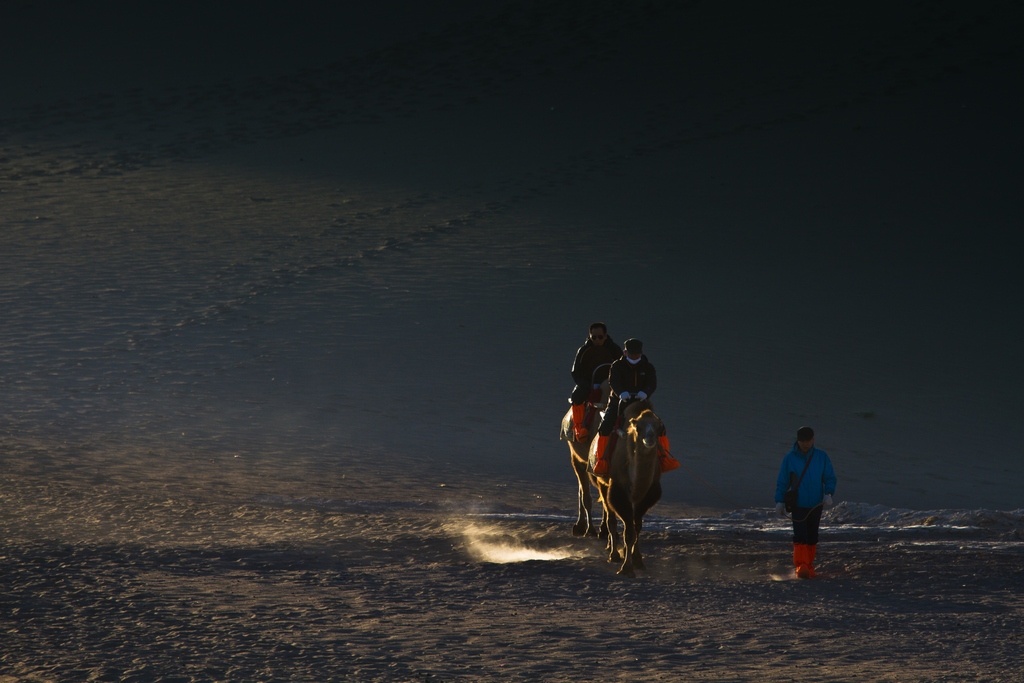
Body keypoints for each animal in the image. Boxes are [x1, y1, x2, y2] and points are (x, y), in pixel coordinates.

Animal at [561, 370, 606, 536]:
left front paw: (602, 529)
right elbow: (587, 496)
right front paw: (591, 529)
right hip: (578, 459)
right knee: (583, 491)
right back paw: (581, 526)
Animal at [593, 397, 663, 581]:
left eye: (659, 428)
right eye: (638, 428)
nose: (650, 439)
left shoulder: (647, 496)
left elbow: (637, 527)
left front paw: (638, 560)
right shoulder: (619, 492)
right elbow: (629, 531)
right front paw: (626, 568)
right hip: (602, 482)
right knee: (610, 518)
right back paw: (614, 555)